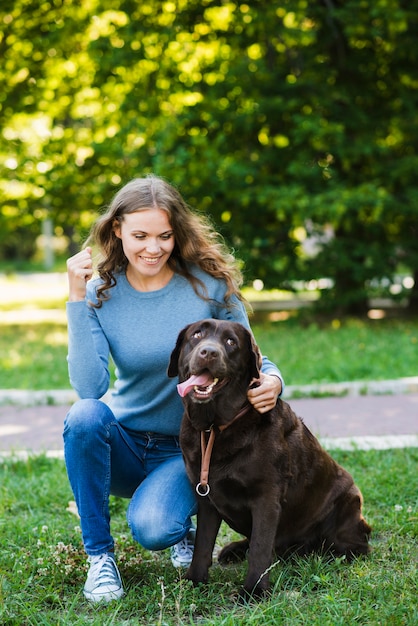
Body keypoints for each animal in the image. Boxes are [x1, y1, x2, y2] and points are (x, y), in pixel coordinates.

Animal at [168, 320, 370, 596]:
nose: (208, 352)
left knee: (352, 547)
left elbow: (261, 547)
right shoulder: (206, 499)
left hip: (347, 503)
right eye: (197, 335)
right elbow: (203, 543)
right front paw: (194, 581)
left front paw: (254, 591)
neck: (215, 427)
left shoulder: (266, 498)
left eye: (231, 342)